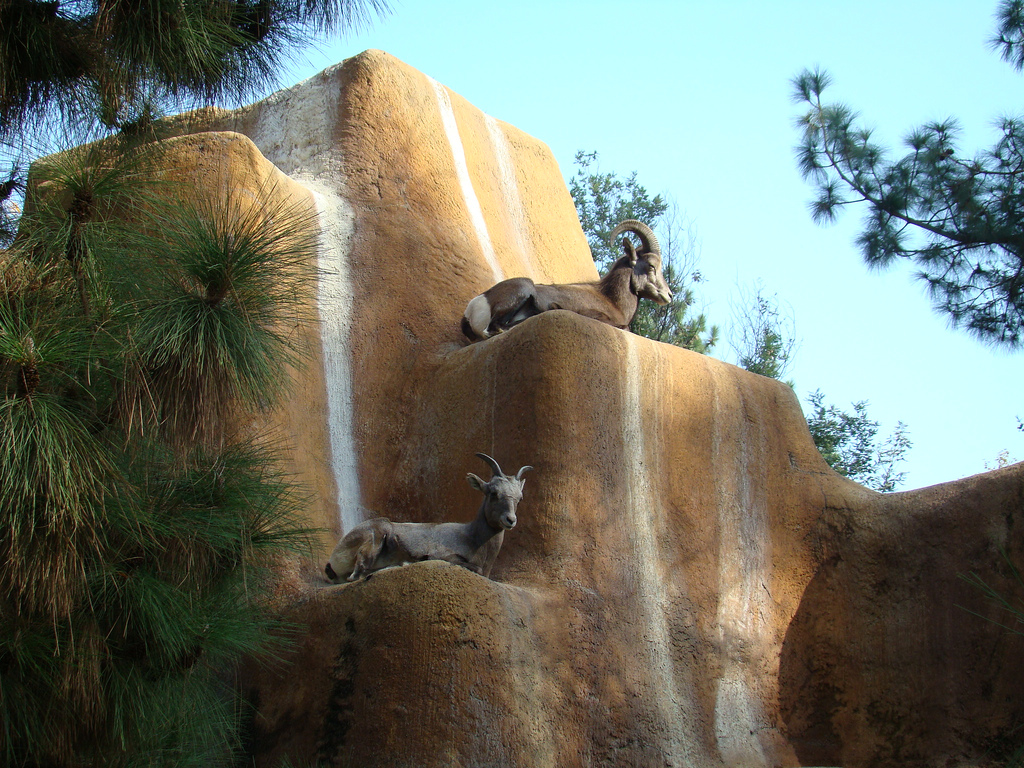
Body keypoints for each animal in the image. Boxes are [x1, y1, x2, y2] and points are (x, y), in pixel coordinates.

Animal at [324, 453, 532, 583]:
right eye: (493, 493)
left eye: (520, 498)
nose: (510, 520)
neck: (471, 538)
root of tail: (334, 558)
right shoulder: (446, 556)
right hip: (376, 535)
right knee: (356, 575)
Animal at [461, 219, 672, 342]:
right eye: (651, 266)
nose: (668, 295)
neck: (612, 300)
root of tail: (474, 306)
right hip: (523, 288)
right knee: (497, 327)